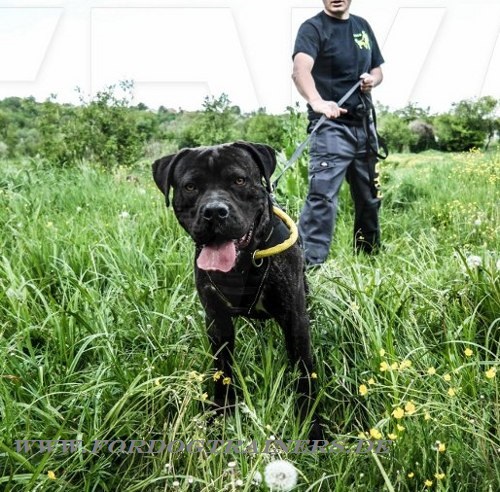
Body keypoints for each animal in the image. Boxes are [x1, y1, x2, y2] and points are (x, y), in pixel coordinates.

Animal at [151, 141, 320, 438]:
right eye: (190, 186)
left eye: (239, 180)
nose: (214, 211)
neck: (243, 264)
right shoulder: (217, 321)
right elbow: (223, 371)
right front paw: (220, 415)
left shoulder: (295, 319)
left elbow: (304, 371)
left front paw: (311, 427)